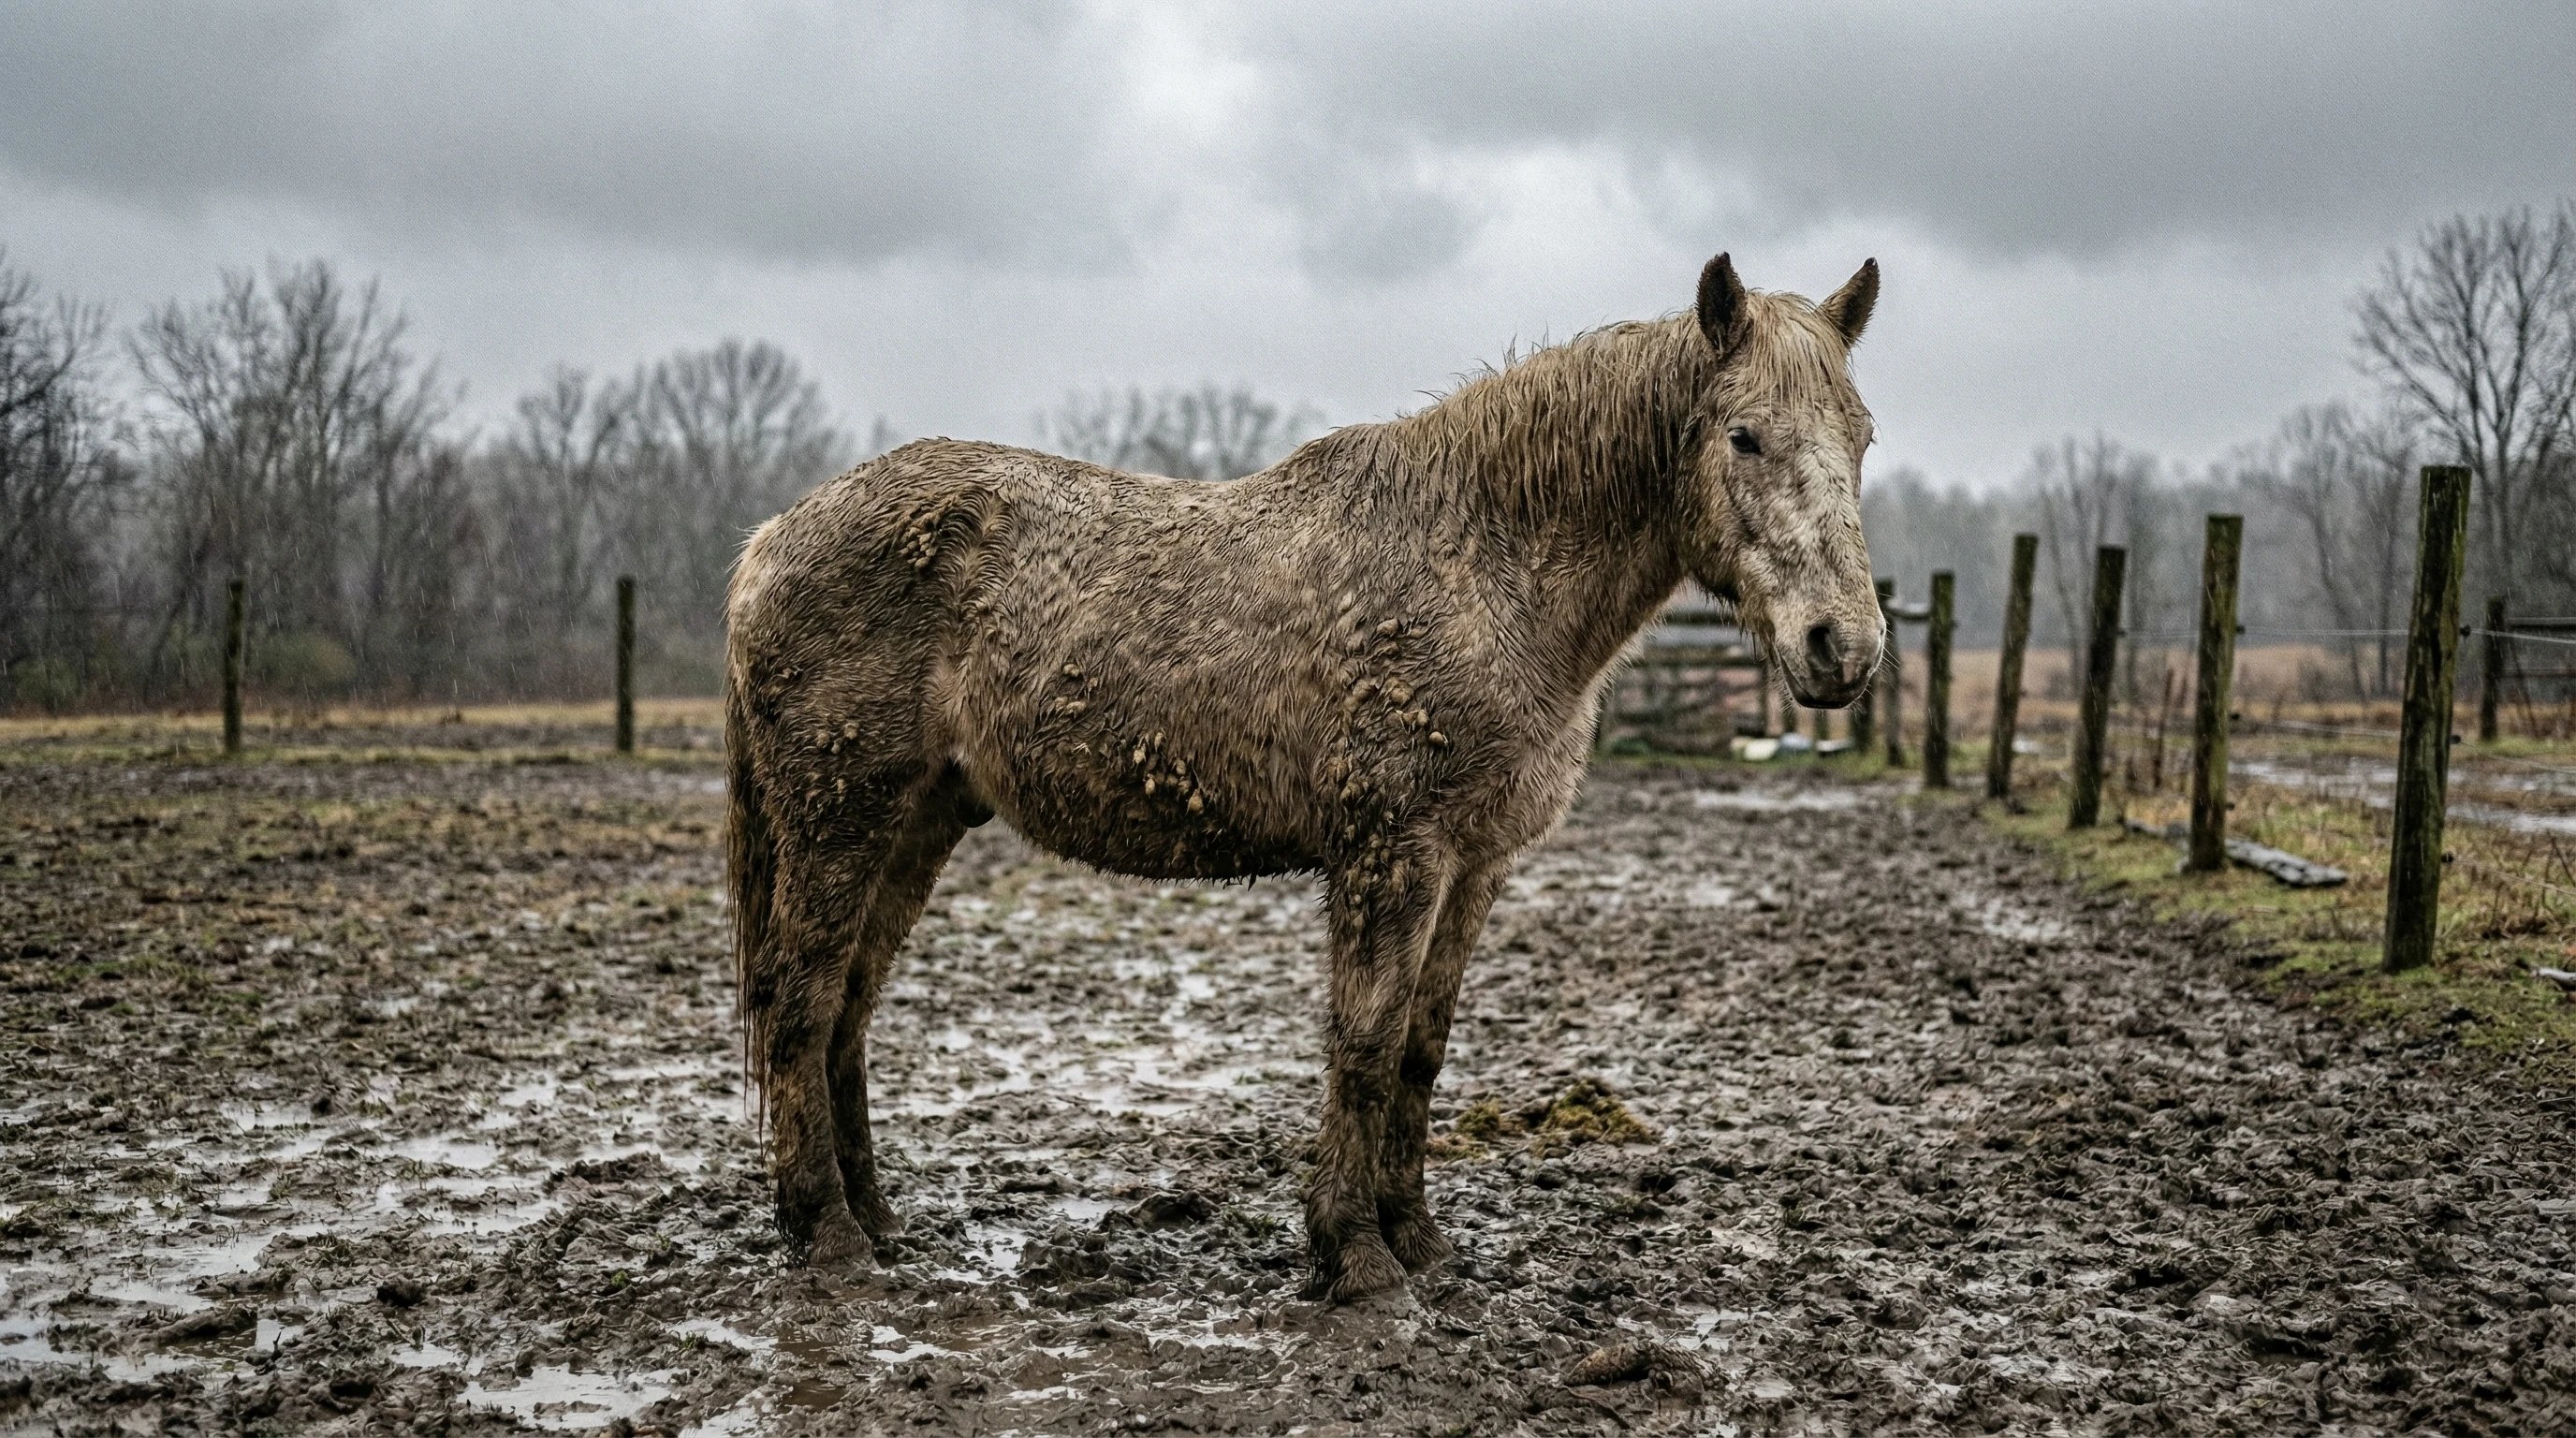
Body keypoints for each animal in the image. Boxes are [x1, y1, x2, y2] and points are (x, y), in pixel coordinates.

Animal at [723, 252, 1886, 1302]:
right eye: (1744, 435)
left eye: (1861, 436)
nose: (1844, 649)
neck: (1484, 565)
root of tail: (769, 539)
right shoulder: (1392, 853)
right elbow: (1365, 1042)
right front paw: (1355, 1258)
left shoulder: (1476, 866)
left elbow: (1421, 1048)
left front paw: (1418, 1239)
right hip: (840, 819)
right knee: (803, 1002)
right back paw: (827, 1236)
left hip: (916, 821)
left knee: (848, 1010)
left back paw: (878, 1222)